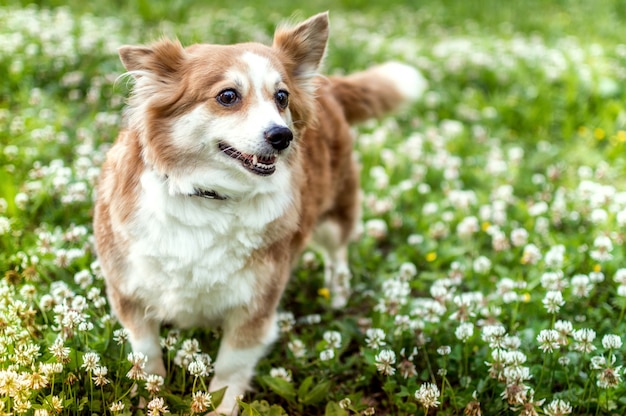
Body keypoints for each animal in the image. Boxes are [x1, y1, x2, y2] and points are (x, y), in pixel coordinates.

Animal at [92, 11, 424, 414]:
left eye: (282, 97)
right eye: (228, 96)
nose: (282, 136)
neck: (211, 194)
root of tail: (326, 84)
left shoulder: (255, 307)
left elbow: (229, 373)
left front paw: (219, 407)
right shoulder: (129, 291)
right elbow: (148, 357)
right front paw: (148, 398)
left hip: (334, 214)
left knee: (338, 253)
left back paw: (338, 293)